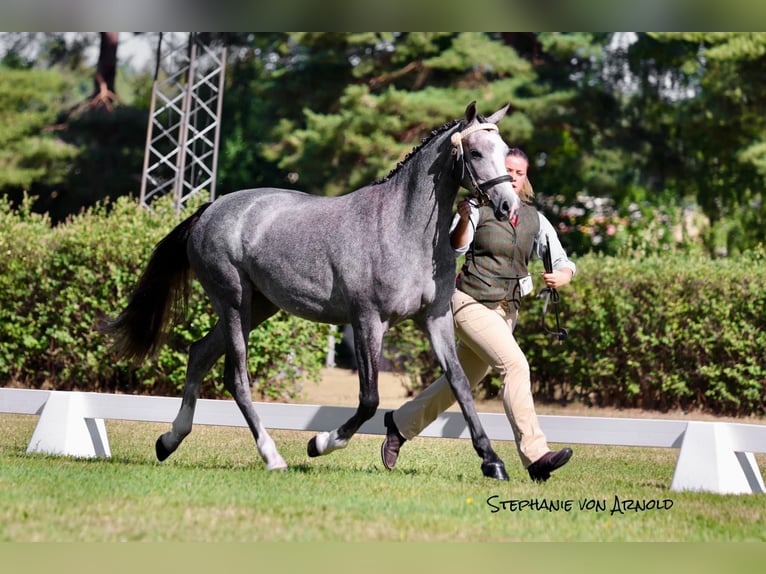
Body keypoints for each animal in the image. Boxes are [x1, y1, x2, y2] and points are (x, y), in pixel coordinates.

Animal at [103, 102, 520, 482]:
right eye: (476, 152)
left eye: (504, 151)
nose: (508, 205)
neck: (403, 227)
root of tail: (210, 209)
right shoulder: (368, 320)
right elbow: (369, 399)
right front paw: (319, 443)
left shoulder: (435, 318)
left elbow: (459, 384)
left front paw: (492, 461)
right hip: (233, 302)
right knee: (235, 377)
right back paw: (272, 456)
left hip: (259, 307)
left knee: (199, 354)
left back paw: (169, 441)